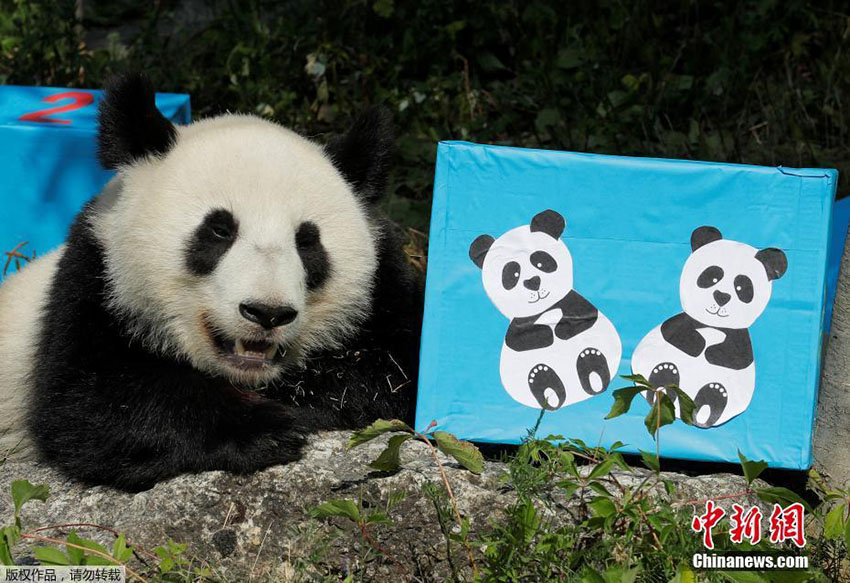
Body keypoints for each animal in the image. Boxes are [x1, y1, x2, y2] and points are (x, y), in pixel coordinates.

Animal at [0, 73, 423, 490]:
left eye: (307, 241)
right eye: (219, 230)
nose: (267, 313)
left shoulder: (385, 285)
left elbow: (395, 371)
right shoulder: (94, 278)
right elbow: (88, 402)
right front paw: (265, 429)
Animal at [469, 210, 622, 411]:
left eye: (540, 262)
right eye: (513, 274)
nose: (533, 281)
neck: (546, 310)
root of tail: (574, 395)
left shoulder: (572, 301)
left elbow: (583, 317)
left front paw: (561, 331)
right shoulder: (519, 323)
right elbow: (521, 337)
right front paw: (547, 335)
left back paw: (591, 365)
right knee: (544, 386)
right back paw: (543, 378)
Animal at [630, 226, 787, 428]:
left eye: (741, 287)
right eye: (713, 277)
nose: (721, 296)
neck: (713, 327)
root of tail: (682, 412)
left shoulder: (739, 338)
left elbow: (735, 355)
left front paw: (711, 353)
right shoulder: (682, 322)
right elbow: (677, 334)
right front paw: (699, 346)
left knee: (714, 402)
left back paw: (711, 396)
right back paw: (666, 376)